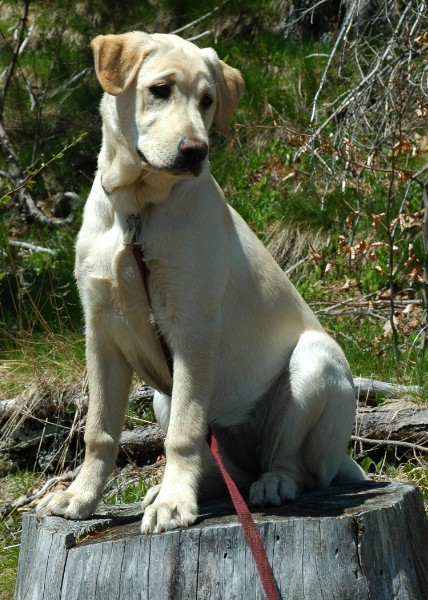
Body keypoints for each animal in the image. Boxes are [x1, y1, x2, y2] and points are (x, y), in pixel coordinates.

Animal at [35, 30, 366, 532]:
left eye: (208, 100)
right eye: (160, 89)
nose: (196, 150)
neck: (138, 211)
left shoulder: (192, 329)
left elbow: (184, 434)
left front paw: (174, 504)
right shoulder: (101, 332)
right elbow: (100, 431)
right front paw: (80, 497)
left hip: (313, 363)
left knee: (294, 463)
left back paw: (273, 483)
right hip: (161, 396)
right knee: (226, 474)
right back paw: (185, 489)